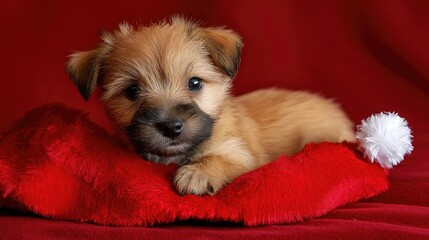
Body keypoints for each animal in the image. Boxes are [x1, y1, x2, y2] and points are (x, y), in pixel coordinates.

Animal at [67, 17, 354, 196]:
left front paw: (197, 174)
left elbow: (219, 159)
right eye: (132, 91)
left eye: (194, 83)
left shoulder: (240, 154)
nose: (171, 127)